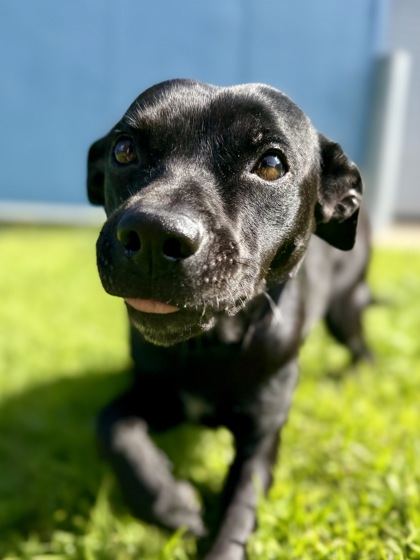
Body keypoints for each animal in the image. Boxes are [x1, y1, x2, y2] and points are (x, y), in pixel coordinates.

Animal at [87, 79, 371, 560]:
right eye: (124, 150)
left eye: (272, 165)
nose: (152, 234)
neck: (211, 349)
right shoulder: (157, 397)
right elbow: (112, 427)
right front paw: (172, 503)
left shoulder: (261, 441)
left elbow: (238, 517)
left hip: (343, 311)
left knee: (363, 348)